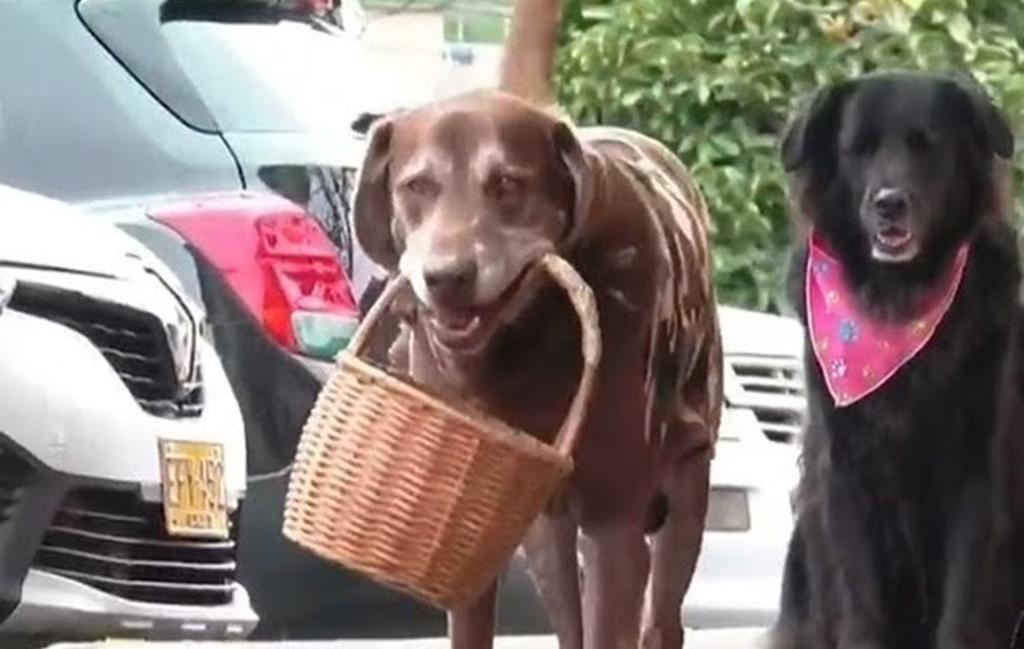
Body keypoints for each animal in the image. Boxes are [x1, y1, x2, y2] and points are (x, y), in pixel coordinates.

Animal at [350, 0, 723, 647]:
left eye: (507, 184)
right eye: (417, 186)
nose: (446, 276)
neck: (524, 341)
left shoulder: (615, 524)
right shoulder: (476, 525)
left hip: (686, 487)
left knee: (663, 618)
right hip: (545, 536)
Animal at [769, 71, 1024, 649]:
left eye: (926, 147)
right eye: (859, 150)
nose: (890, 203)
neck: (898, 297)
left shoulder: (978, 476)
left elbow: (961, 607)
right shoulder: (842, 472)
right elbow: (860, 603)